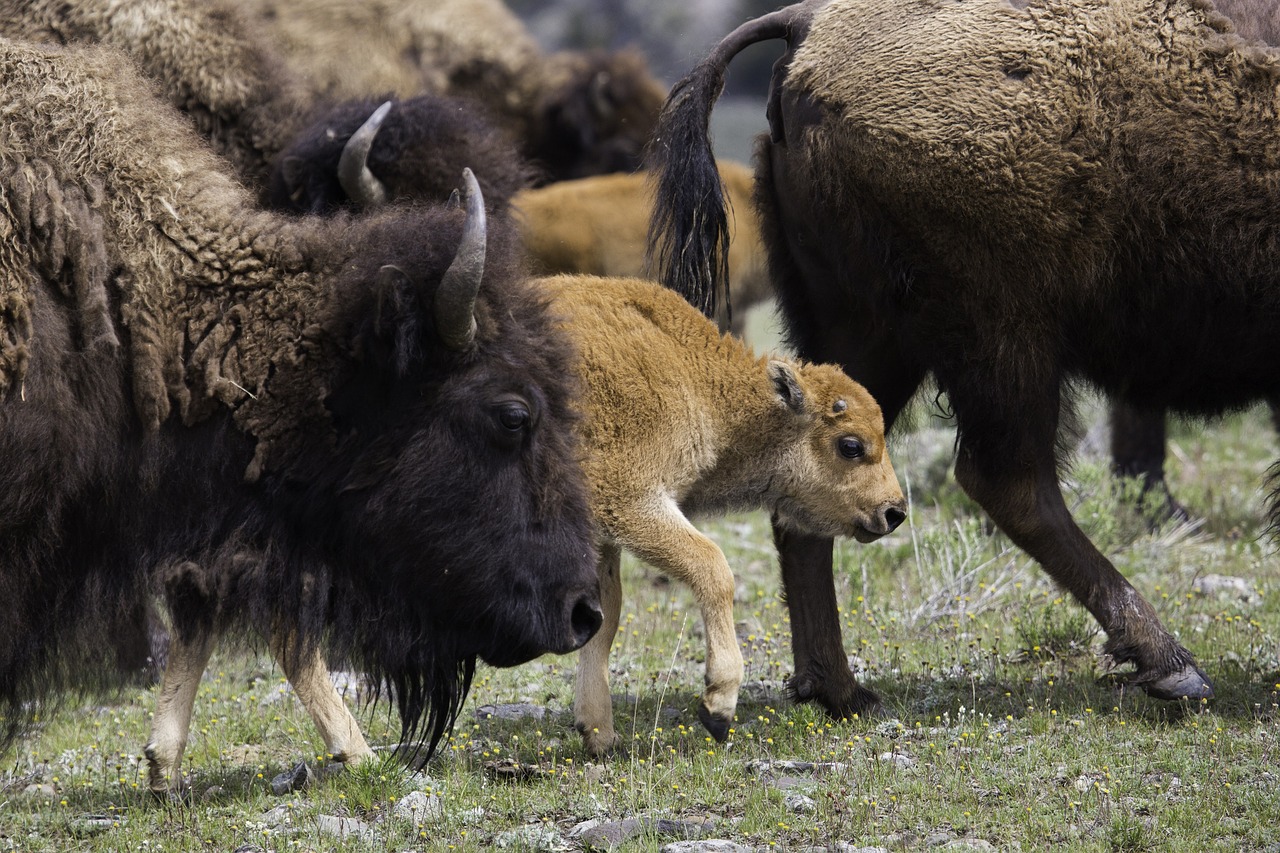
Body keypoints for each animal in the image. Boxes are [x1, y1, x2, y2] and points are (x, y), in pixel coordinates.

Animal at [545, 275, 906, 747]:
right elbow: (713, 568)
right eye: (851, 445)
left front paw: (598, 735)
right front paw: (717, 706)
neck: (695, 377)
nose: (894, 512)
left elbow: (606, 616)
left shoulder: (605, 533)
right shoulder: (632, 501)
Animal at [650, 0, 1280, 712]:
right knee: (1011, 480)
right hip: (1005, 336)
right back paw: (1173, 666)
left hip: (875, 337)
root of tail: (806, 23)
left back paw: (841, 690)